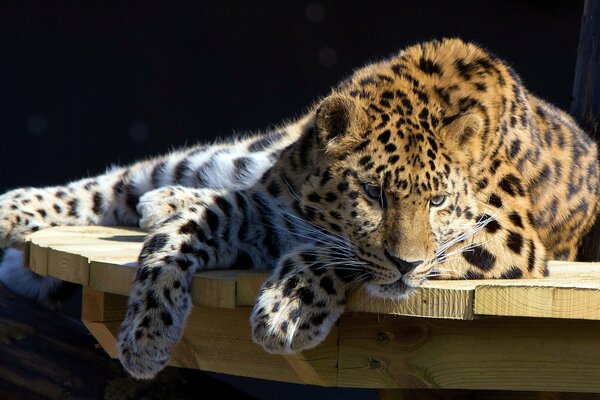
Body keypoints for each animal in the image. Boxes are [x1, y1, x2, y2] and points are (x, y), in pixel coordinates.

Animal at [0, 39, 596, 380]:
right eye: (373, 193)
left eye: (437, 201)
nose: (406, 267)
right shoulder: (271, 210)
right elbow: (184, 234)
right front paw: (146, 334)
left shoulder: (508, 239)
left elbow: (333, 252)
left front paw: (286, 309)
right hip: (229, 156)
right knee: (121, 182)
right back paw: (17, 210)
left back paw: (161, 202)